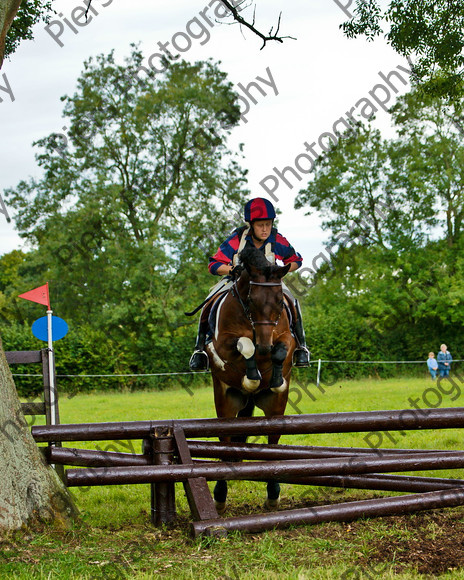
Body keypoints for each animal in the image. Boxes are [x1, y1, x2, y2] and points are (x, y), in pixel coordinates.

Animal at [207, 245, 298, 512]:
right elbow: (245, 344)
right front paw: (252, 378)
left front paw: (275, 378)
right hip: (225, 404)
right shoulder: (224, 343)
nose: (264, 347)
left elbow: (282, 349)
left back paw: (273, 494)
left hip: (275, 408)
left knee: (273, 446)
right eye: (250, 300)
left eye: (279, 301)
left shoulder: (286, 338)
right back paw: (220, 497)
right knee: (225, 446)